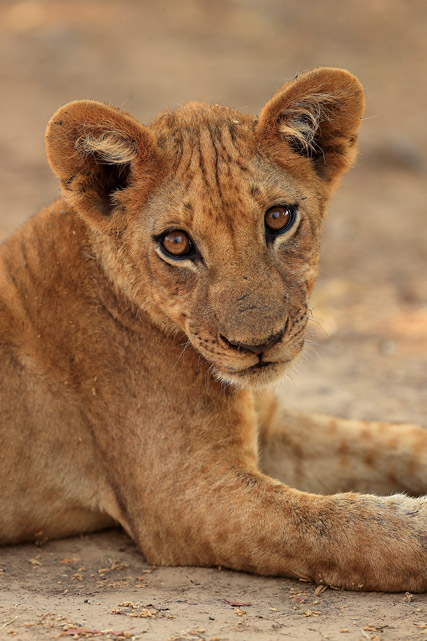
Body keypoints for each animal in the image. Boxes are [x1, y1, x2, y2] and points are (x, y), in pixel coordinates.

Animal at [0, 67, 426, 592]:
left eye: (279, 217)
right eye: (176, 243)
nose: (259, 345)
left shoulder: (272, 428)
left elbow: (393, 441)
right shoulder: (186, 495)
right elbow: (347, 526)